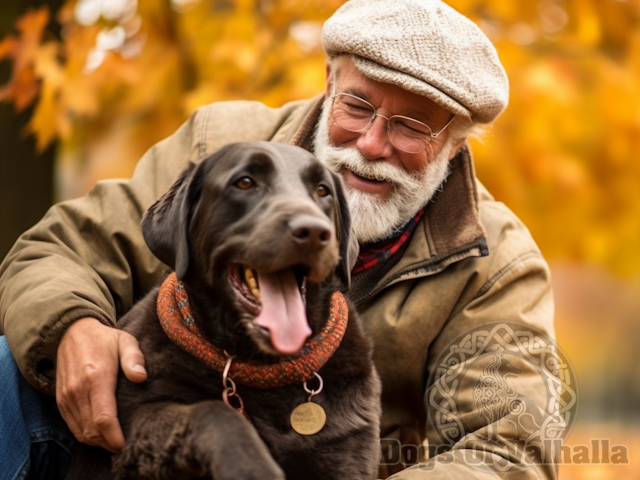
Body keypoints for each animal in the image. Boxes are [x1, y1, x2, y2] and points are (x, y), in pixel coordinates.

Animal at [66, 142, 380, 480]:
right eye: (244, 183)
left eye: (322, 191)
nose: (313, 231)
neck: (263, 367)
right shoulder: (134, 423)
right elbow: (213, 412)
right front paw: (250, 465)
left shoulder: (344, 451)